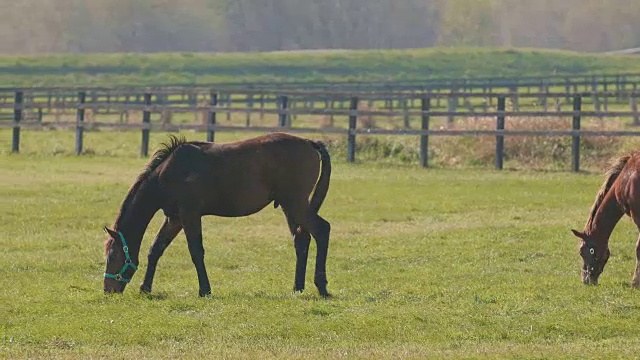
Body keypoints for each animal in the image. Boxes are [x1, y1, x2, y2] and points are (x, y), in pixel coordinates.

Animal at [102, 134, 332, 296]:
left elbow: (196, 251)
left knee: (322, 230)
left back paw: (321, 287)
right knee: (301, 239)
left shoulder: (190, 215)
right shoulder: (174, 218)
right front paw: (145, 288)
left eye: (112, 256)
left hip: (295, 203)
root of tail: (309, 142)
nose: (108, 290)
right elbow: (156, 248)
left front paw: (205, 290)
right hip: (289, 206)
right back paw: (297, 287)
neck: (167, 173)